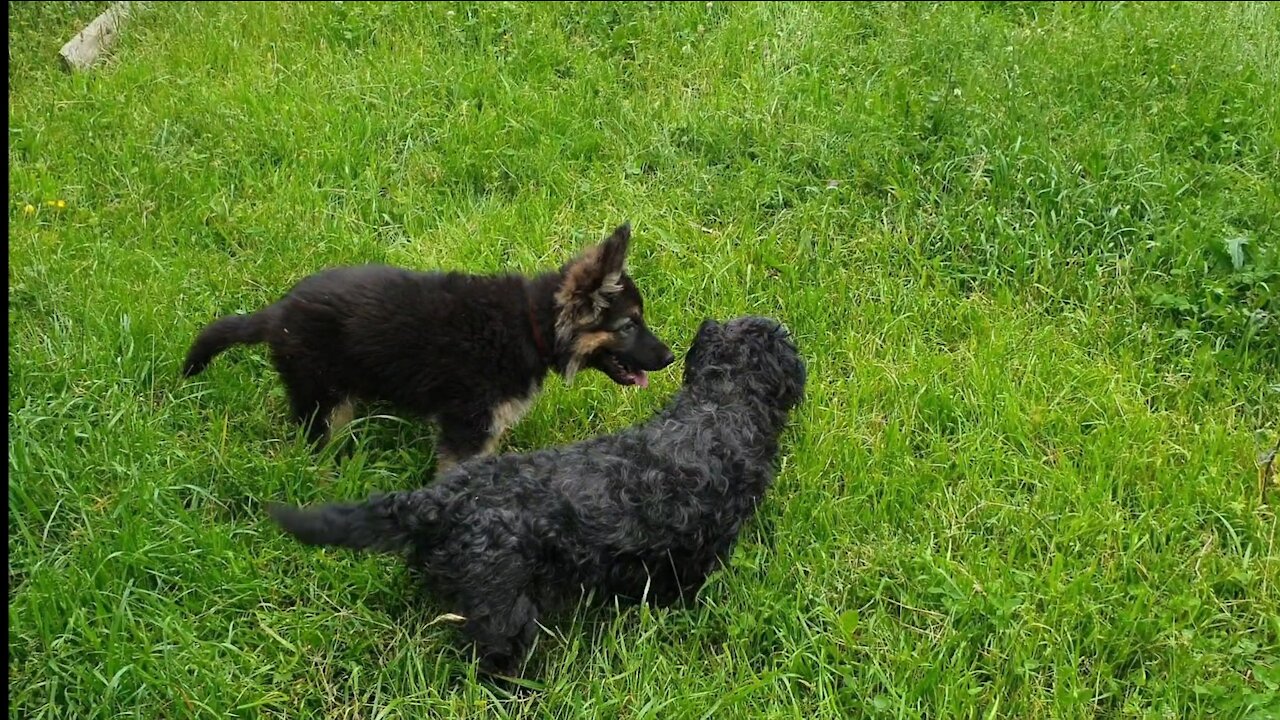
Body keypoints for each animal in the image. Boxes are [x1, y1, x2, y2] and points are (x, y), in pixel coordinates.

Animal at [186, 221, 680, 466]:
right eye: (629, 325)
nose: (671, 357)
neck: (530, 326)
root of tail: (278, 314)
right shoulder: (469, 426)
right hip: (322, 398)